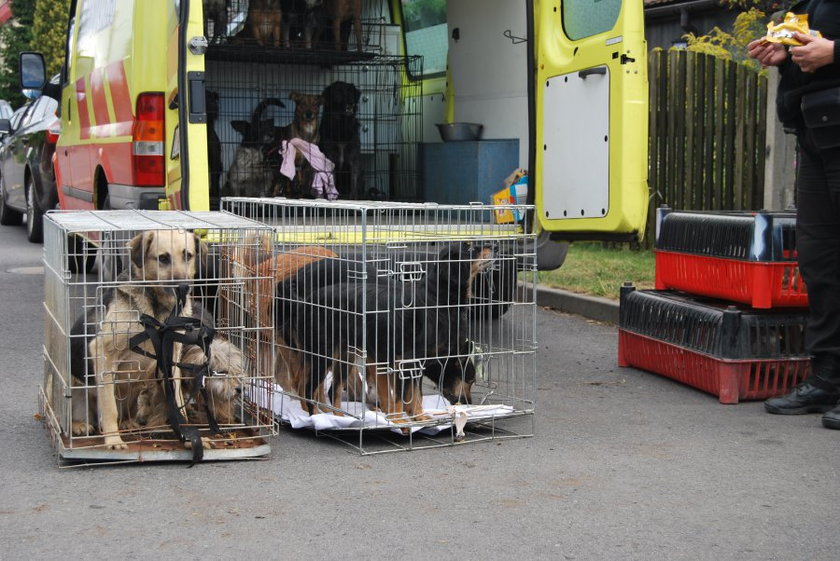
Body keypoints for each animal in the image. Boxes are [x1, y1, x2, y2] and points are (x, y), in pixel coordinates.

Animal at [78, 230, 208, 448]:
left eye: (188, 255)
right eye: (163, 258)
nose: (183, 287)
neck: (157, 309)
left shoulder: (170, 360)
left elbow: (177, 401)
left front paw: (189, 437)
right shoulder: (102, 351)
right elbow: (109, 406)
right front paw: (113, 439)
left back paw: (128, 422)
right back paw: (79, 425)